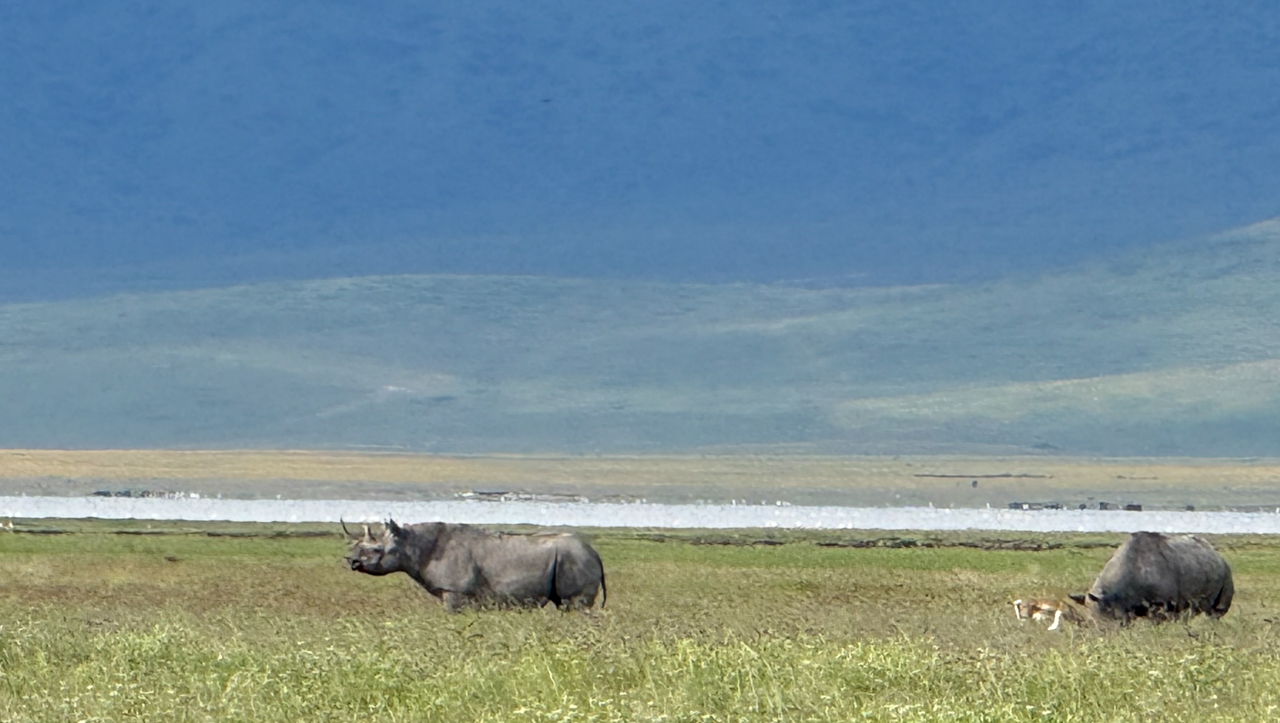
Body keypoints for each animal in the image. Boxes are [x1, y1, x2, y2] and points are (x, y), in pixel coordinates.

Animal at [344, 519, 606, 611]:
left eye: (375, 550)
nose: (351, 561)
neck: (412, 545)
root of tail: (596, 555)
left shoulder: (454, 592)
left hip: (575, 560)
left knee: (575, 605)